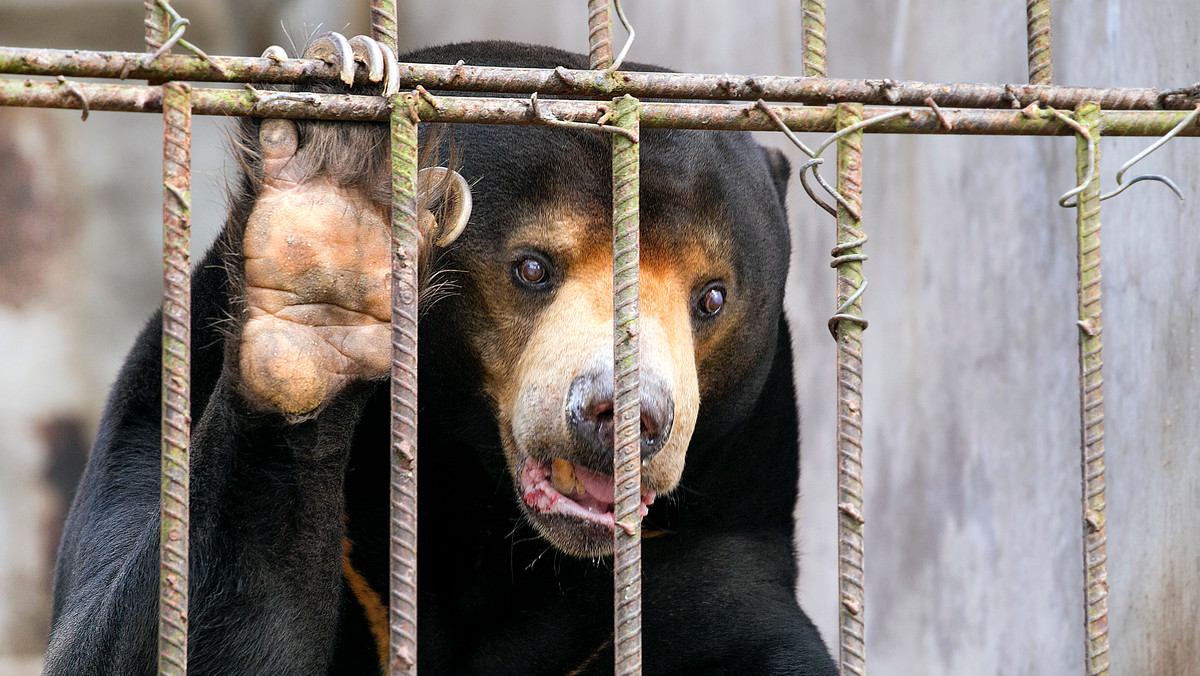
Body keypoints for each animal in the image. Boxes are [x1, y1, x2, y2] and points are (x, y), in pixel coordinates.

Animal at [44, 38, 835, 676]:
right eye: (532, 268)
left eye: (712, 297)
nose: (626, 415)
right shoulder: (163, 409)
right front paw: (338, 200)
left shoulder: (714, 538)